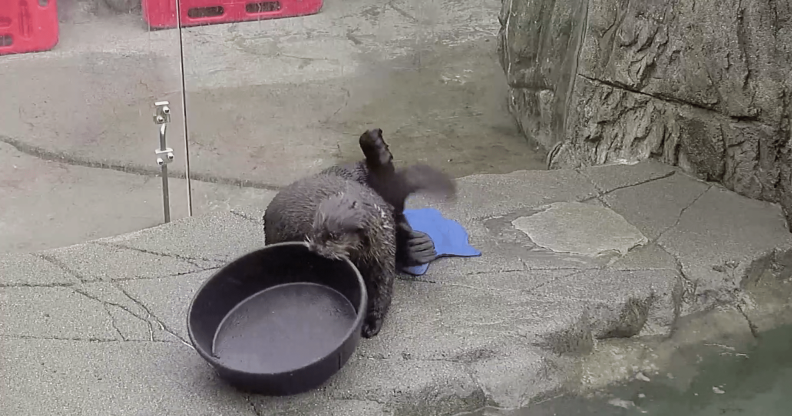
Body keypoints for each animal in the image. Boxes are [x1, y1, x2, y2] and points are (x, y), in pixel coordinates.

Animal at [263, 134, 456, 338]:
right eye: (314, 229)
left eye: (333, 236)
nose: (315, 248)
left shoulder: (383, 252)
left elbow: (382, 288)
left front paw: (371, 323)